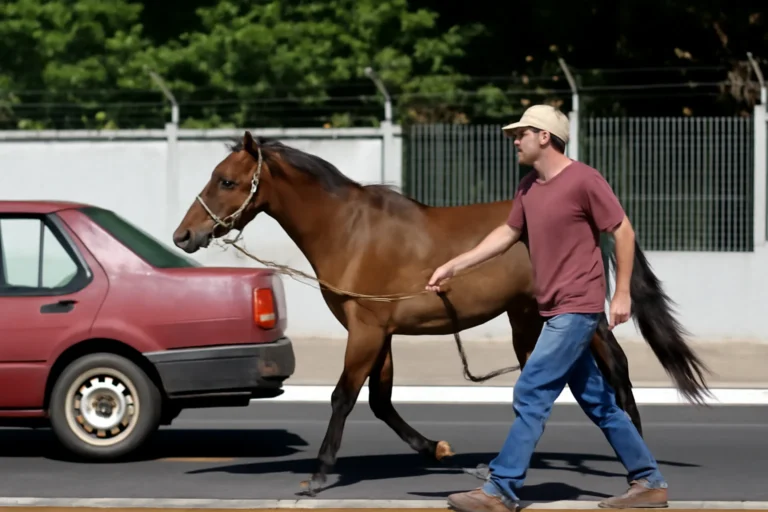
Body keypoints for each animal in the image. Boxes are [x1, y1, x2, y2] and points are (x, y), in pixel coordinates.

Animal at [171, 130, 710, 495]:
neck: (349, 229)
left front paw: (318, 474)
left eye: (227, 180)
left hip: (581, 318)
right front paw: (437, 450)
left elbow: (344, 397)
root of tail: (594, 221)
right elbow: (381, 402)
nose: (184, 235)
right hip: (527, 320)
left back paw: (635, 460)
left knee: (615, 370)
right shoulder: (380, 332)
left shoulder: (366, 331)